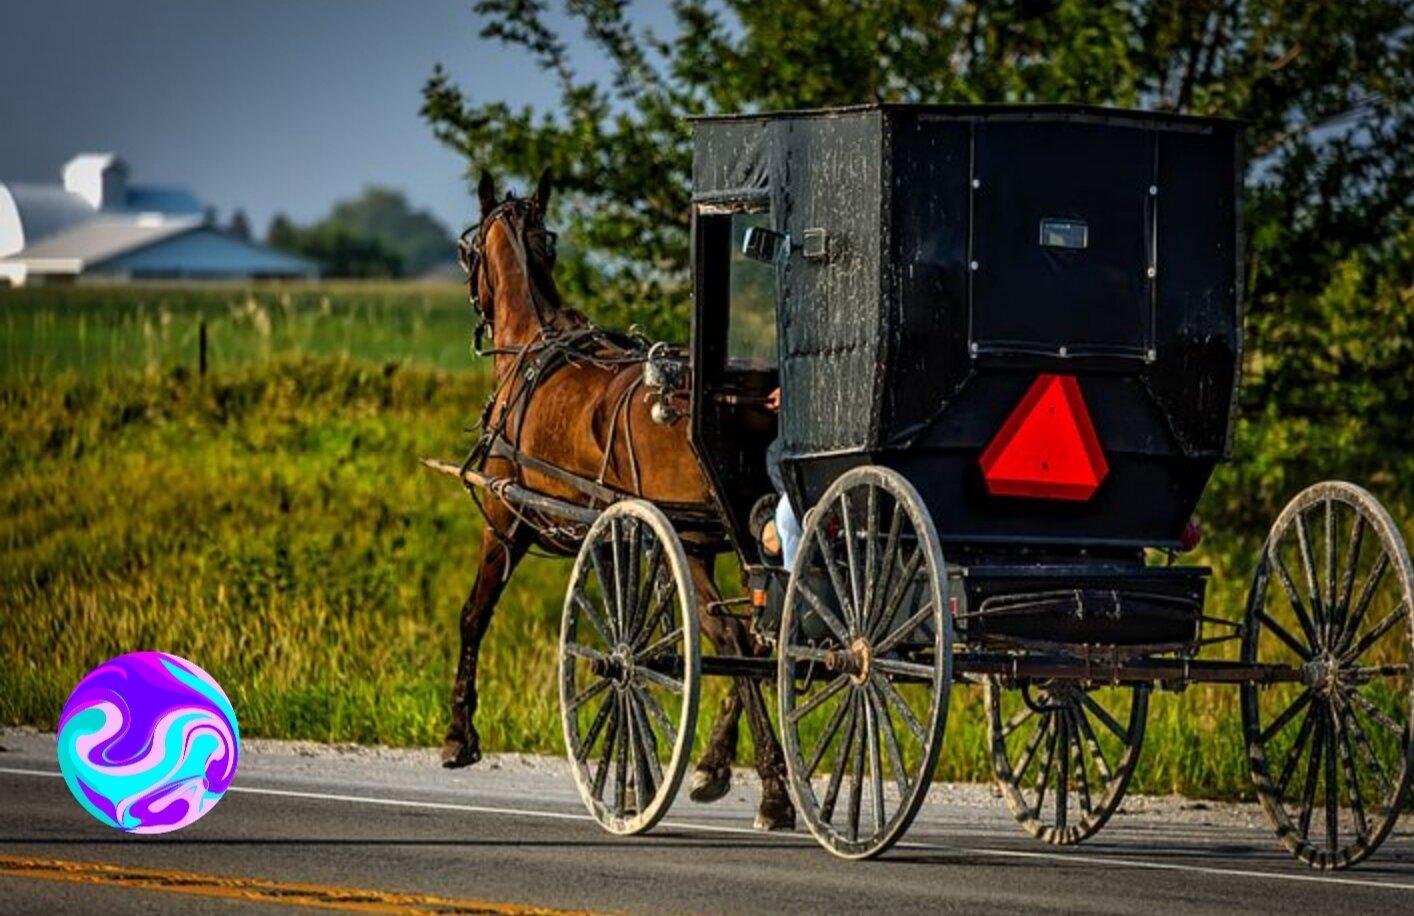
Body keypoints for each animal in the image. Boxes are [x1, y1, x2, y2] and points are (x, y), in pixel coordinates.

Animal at [441, 166, 797, 831]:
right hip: (732, 542)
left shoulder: (504, 522)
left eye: (467, 251)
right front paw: (645, 775)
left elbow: (474, 615)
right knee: (764, 636)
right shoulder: (620, 539)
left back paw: (772, 790)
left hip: (691, 542)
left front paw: (458, 735)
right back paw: (717, 767)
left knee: (736, 639)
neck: (532, 345)